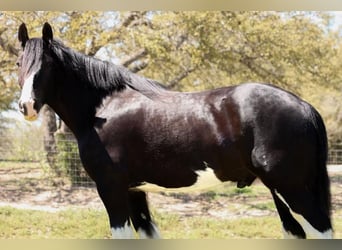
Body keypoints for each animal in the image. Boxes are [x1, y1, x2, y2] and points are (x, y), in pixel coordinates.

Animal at [15, 23, 332, 238]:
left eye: (47, 65)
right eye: (20, 63)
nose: (26, 106)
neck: (104, 108)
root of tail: (304, 106)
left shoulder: (111, 188)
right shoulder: (134, 191)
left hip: (291, 188)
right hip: (279, 190)